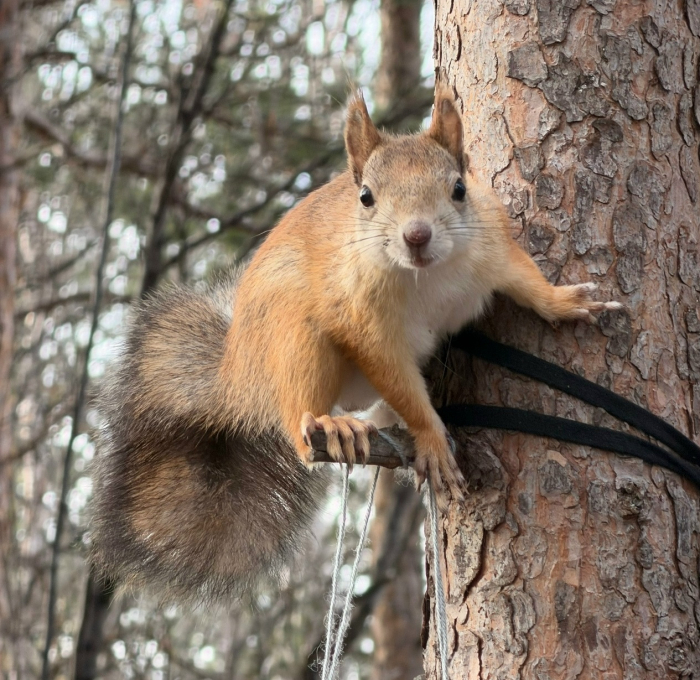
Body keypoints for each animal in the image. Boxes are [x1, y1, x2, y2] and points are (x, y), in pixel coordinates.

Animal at [91, 86, 620, 603]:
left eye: (459, 188)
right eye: (365, 197)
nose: (416, 235)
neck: (428, 278)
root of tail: (238, 374)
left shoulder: (493, 247)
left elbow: (526, 280)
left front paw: (566, 302)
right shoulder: (364, 321)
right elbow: (395, 376)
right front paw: (431, 437)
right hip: (295, 342)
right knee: (297, 419)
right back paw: (334, 425)